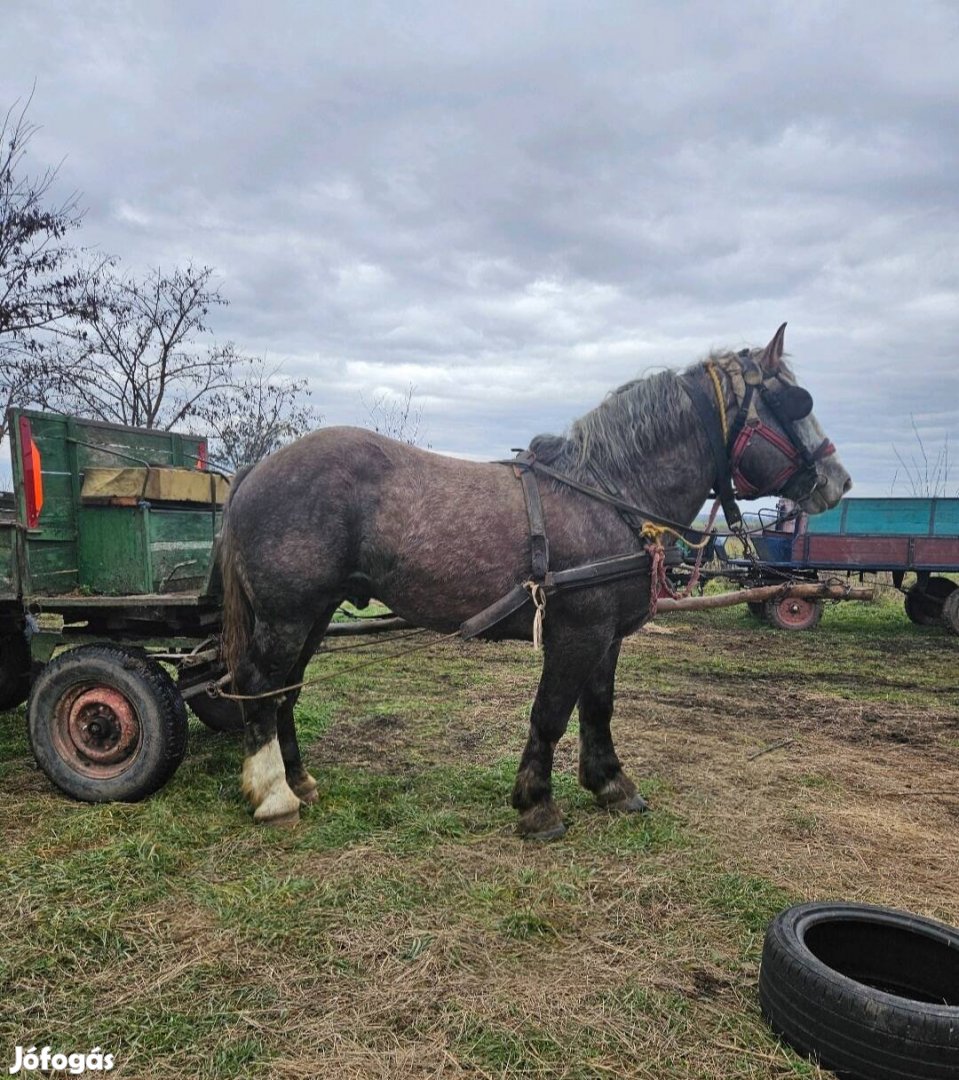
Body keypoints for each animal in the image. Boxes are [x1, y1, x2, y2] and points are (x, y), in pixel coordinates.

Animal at [221, 324, 851, 838]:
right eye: (793, 401)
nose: (838, 480)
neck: (609, 495)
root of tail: (257, 467)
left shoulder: (606, 636)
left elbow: (598, 708)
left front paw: (610, 784)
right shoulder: (577, 631)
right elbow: (550, 712)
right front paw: (537, 804)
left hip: (314, 612)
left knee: (285, 689)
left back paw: (299, 780)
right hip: (287, 614)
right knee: (259, 684)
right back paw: (274, 794)